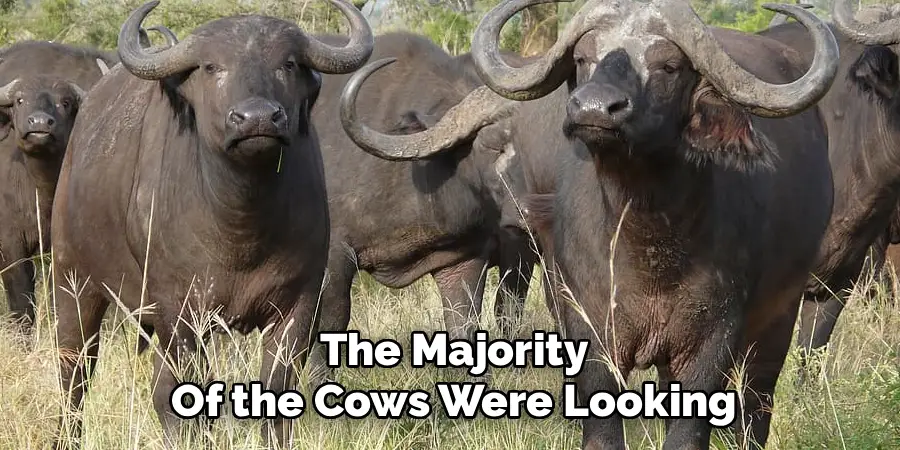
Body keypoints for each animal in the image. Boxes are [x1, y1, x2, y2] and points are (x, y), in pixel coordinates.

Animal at [50, 0, 372, 448]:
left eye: (288, 63)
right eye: (210, 66)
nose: (257, 118)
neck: (241, 227)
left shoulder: (300, 303)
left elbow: (278, 386)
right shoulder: (179, 311)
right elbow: (191, 391)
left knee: (157, 388)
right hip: (73, 282)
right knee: (75, 371)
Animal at [469, 0, 839, 448]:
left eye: (668, 66)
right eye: (583, 57)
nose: (594, 108)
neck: (649, 245)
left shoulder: (711, 343)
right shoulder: (591, 334)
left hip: (779, 319)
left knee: (756, 403)